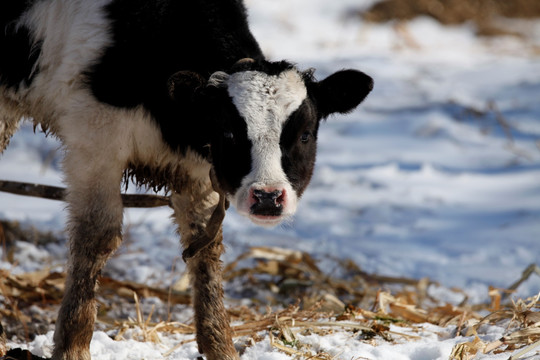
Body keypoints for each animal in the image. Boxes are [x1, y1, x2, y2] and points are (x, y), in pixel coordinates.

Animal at [0, 0, 374, 360]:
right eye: (228, 133)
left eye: (305, 135)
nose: (267, 197)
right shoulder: (94, 142)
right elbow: (97, 235)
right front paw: (73, 346)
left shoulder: (196, 169)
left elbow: (205, 246)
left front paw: (220, 346)